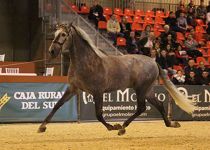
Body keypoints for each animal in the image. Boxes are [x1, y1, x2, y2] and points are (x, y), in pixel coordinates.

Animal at [37, 24, 195, 135]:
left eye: (63, 34)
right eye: (55, 34)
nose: (52, 51)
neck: (86, 62)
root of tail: (153, 61)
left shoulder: (98, 92)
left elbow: (99, 114)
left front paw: (112, 127)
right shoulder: (73, 89)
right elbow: (57, 105)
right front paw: (42, 127)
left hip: (141, 89)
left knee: (141, 107)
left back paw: (122, 127)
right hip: (147, 90)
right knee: (159, 104)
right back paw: (170, 124)